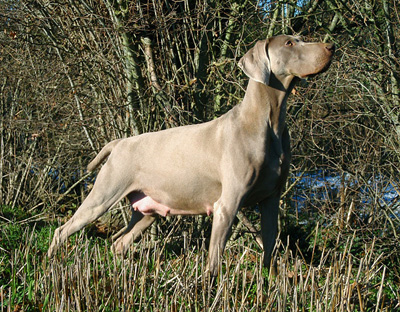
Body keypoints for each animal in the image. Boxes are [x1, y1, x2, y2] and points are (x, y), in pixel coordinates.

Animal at [47, 35, 334, 276]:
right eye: (289, 43)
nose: (331, 46)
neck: (269, 123)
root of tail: (119, 143)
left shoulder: (271, 200)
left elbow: (270, 249)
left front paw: (271, 285)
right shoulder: (227, 205)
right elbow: (214, 261)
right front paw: (210, 291)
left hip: (147, 211)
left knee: (119, 242)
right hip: (104, 195)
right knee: (62, 230)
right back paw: (52, 263)